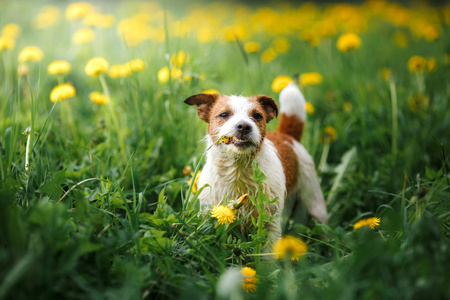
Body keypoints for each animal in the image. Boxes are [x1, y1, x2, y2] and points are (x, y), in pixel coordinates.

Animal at [185, 82, 328, 246]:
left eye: (257, 116)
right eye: (224, 114)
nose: (244, 126)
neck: (238, 171)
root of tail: (286, 136)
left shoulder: (270, 223)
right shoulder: (208, 213)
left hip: (314, 205)